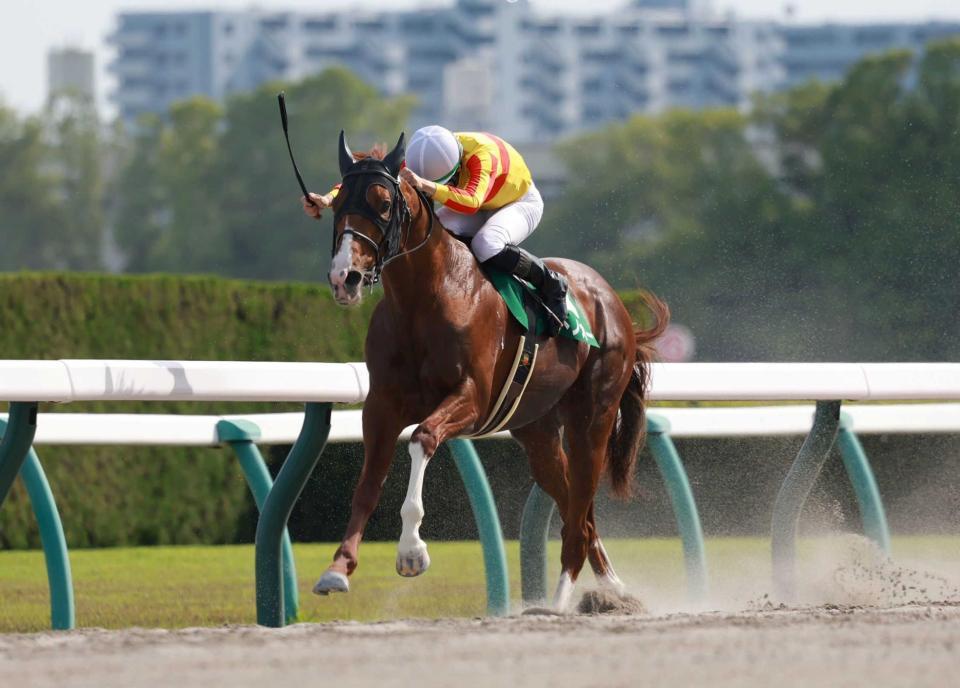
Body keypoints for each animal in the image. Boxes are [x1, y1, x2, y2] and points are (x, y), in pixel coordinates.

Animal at [316, 132, 668, 612]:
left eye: (384, 203)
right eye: (337, 202)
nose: (345, 277)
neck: (425, 298)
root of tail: (612, 300)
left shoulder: (471, 398)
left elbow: (423, 438)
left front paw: (412, 553)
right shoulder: (381, 406)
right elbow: (368, 484)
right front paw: (338, 567)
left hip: (592, 419)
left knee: (579, 516)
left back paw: (559, 599)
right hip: (538, 432)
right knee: (580, 512)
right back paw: (612, 589)